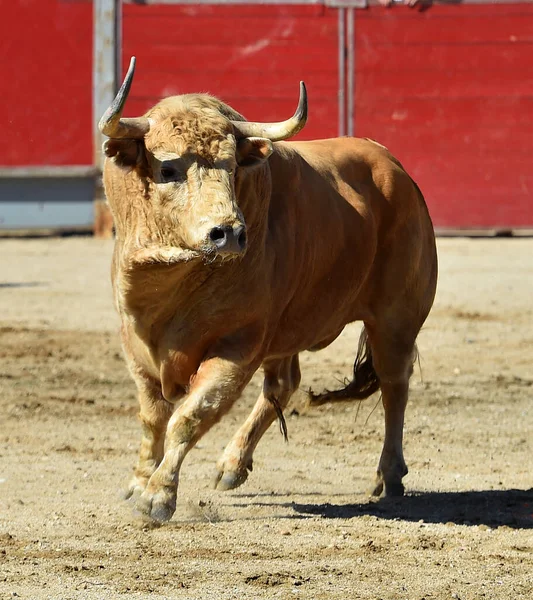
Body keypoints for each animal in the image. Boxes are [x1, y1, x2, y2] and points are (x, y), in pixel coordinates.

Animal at [98, 58, 436, 524]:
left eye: (232, 167)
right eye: (168, 169)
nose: (228, 232)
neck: (175, 285)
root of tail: (395, 168)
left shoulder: (238, 345)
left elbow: (190, 415)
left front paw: (158, 495)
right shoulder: (135, 341)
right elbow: (152, 417)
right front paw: (137, 483)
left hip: (395, 320)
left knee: (393, 385)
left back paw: (390, 475)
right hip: (289, 328)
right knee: (283, 383)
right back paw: (232, 464)